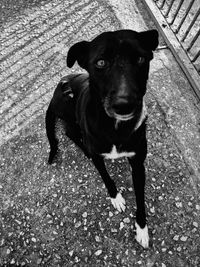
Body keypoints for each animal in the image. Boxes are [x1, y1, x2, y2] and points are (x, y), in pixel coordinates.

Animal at [45, 29, 158, 249]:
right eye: (101, 62)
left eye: (140, 59)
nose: (124, 105)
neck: (116, 127)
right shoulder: (98, 158)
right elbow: (106, 177)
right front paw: (116, 197)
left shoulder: (138, 163)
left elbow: (140, 198)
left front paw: (142, 228)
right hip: (69, 109)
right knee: (71, 133)